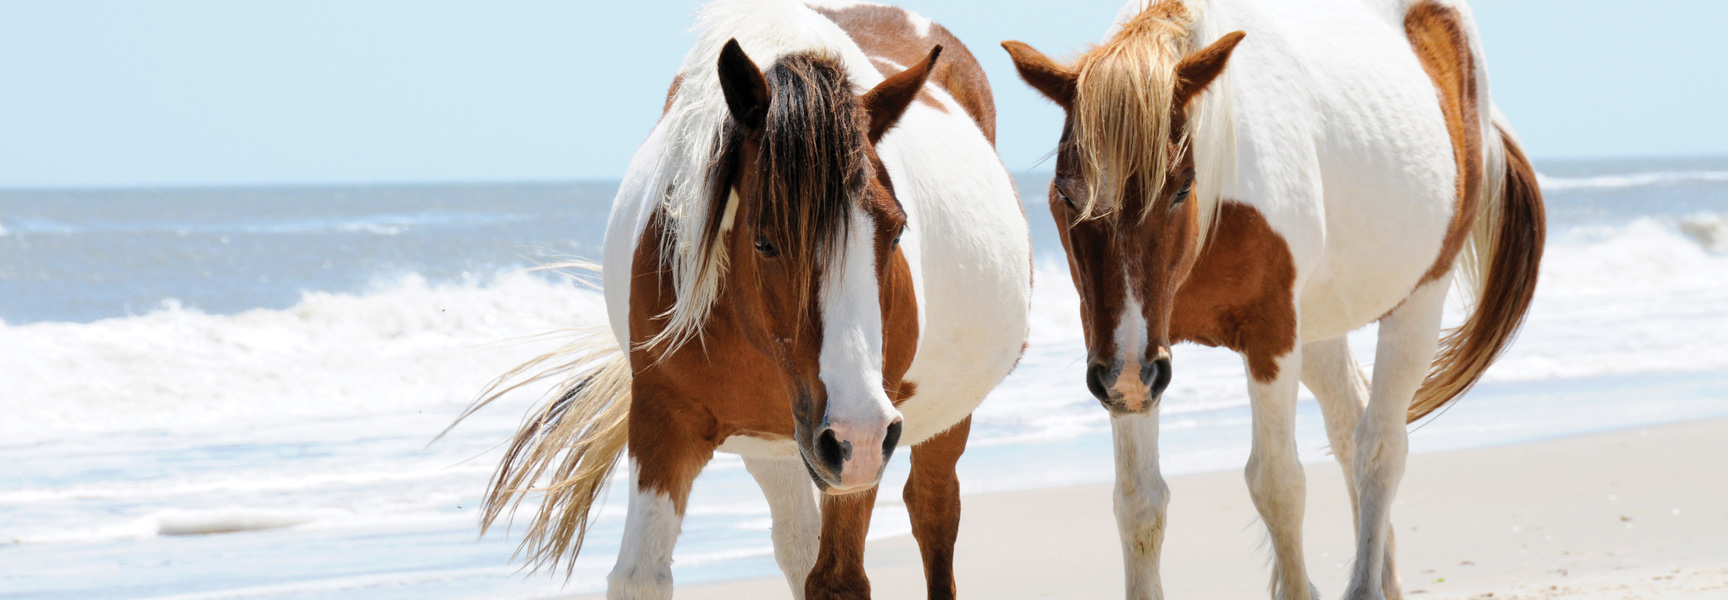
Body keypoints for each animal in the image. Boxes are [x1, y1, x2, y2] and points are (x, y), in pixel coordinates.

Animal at [449, 1, 1031, 598]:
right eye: (765, 241)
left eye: (895, 231)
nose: (857, 432)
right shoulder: (662, 420)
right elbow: (641, 575)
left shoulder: (863, 443)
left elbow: (839, 578)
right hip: (781, 449)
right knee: (800, 542)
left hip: (925, 424)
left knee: (933, 512)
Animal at [1003, 0, 1542, 598]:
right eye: (1066, 193)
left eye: (1181, 188)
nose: (1125, 375)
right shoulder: (1128, 358)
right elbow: (1139, 502)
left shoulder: (1267, 337)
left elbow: (1278, 485)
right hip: (1317, 326)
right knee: (1350, 429)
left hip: (1418, 302)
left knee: (1380, 447)